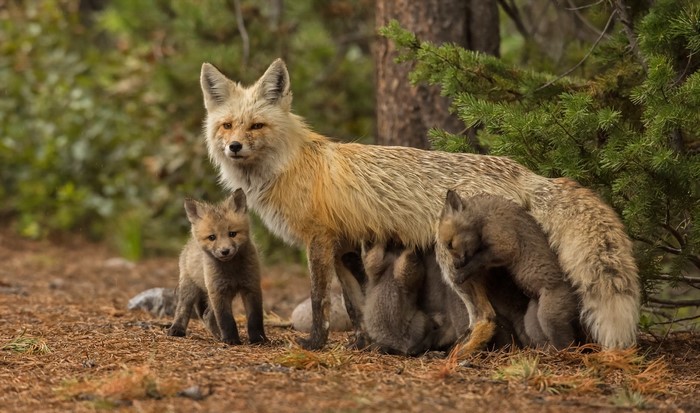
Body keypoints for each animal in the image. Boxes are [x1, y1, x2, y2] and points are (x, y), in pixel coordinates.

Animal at [167, 189, 267, 345]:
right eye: (212, 237)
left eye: (232, 234)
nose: (225, 251)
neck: (232, 270)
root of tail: (189, 243)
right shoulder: (218, 291)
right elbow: (226, 320)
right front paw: (231, 340)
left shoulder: (251, 287)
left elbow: (255, 318)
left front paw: (259, 339)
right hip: (190, 288)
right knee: (184, 309)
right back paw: (177, 329)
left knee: (207, 315)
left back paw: (218, 336)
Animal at [437, 190, 582, 350]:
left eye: (450, 244)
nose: (455, 266)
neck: (483, 216)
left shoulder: (506, 244)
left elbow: (479, 259)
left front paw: (461, 274)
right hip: (532, 323)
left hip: (549, 319)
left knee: (567, 343)